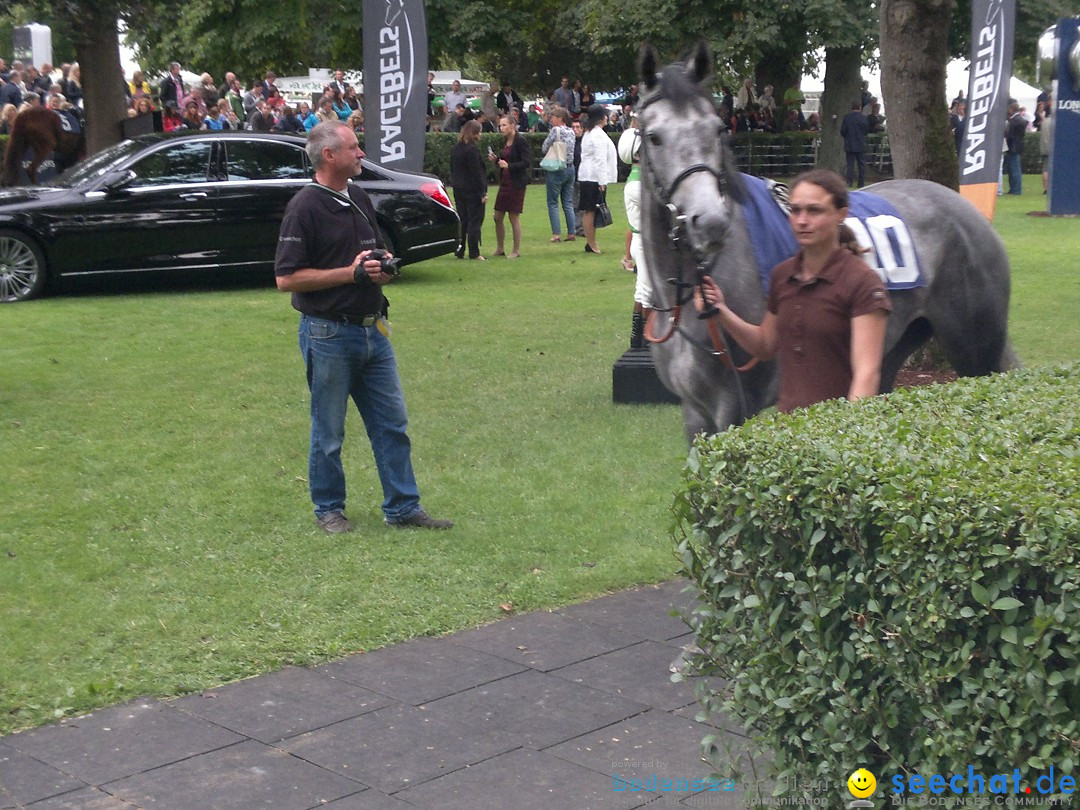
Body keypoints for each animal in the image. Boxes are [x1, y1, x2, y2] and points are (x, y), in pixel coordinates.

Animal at [635, 41, 1015, 440]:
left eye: (718, 129)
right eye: (654, 136)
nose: (710, 222)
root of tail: (967, 209)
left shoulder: (733, 409)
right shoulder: (695, 413)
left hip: (976, 351)